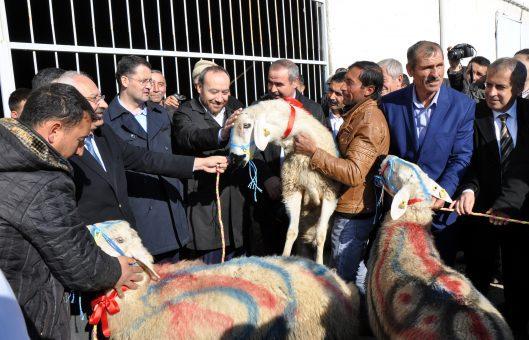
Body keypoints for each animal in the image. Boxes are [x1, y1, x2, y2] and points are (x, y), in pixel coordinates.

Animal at [228, 97, 338, 262]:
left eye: (246, 125)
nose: (234, 158)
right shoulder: (292, 191)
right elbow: (291, 232)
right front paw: (285, 259)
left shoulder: (330, 194)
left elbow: (320, 235)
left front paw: (320, 264)